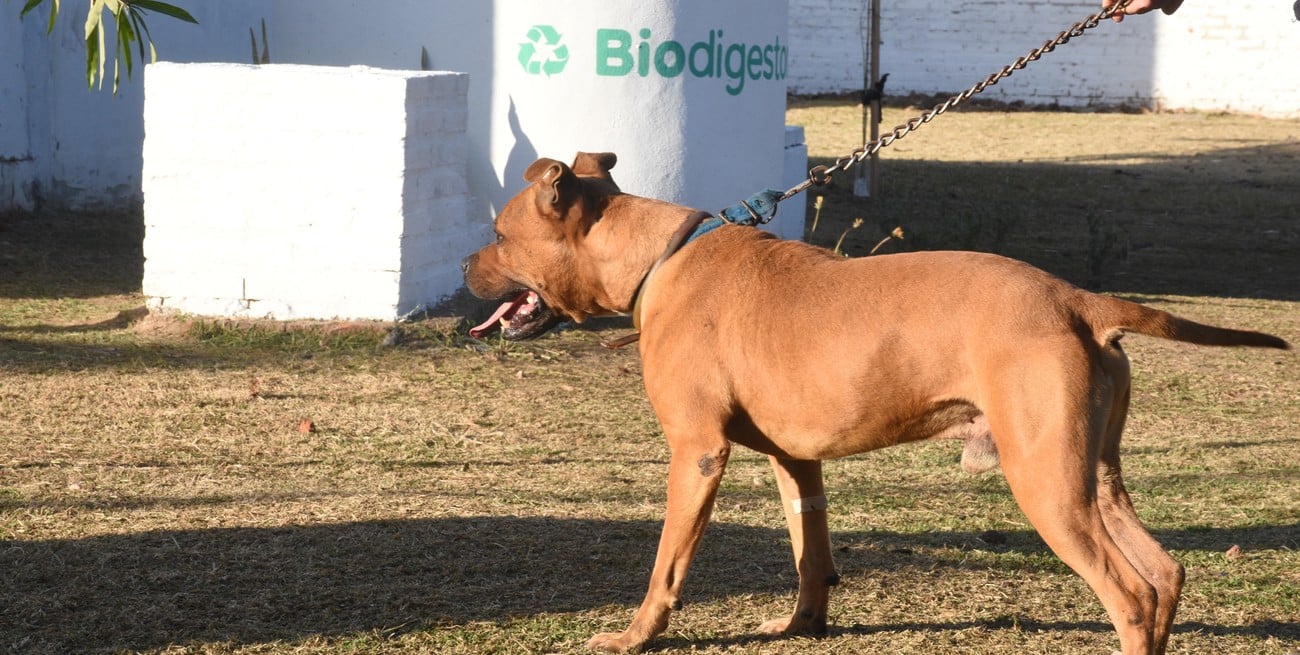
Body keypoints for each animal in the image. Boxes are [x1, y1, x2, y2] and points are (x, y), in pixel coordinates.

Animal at [465, 152, 1289, 649]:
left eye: (498, 232)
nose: (468, 266)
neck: (658, 259)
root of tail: (1076, 298)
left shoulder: (697, 454)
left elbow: (667, 567)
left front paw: (636, 636)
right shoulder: (797, 462)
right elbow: (810, 555)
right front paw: (801, 625)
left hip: (1047, 482)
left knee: (1129, 592)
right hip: (1093, 475)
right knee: (1164, 574)